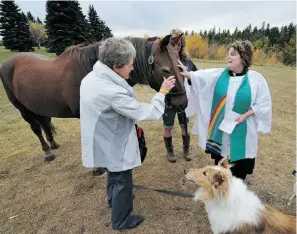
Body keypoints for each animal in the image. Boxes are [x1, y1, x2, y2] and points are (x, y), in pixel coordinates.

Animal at [1, 34, 186, 161]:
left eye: (180, 66)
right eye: (165, 70)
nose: (183, 103)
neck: (91, 72)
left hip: (38, 105)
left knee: (45, 122)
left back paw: (53, 144)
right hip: (23, 109)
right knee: (36, 128)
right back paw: (47, 152)